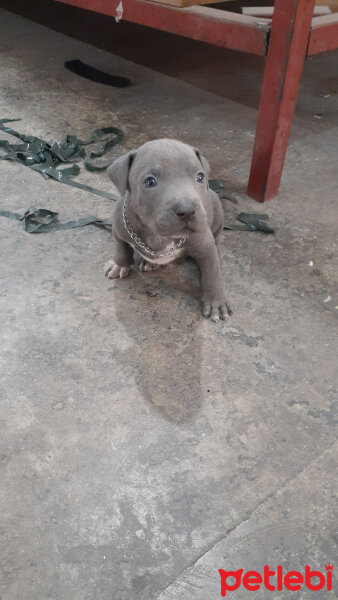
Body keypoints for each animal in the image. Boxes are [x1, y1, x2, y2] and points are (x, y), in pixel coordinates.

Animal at [104, 138, 232, 322]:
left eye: (200, 177)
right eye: (150, 182)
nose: (187, 210)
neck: (159, 236)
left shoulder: (205, 245)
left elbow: (212, 274)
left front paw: (217, 302)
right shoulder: (119, 227)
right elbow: (121, 248)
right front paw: (119, 264)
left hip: (216, 207)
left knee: (217, 239)